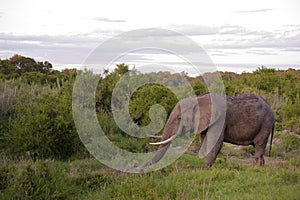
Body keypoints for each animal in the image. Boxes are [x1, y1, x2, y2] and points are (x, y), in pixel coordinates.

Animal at [142, 93, 276, 170]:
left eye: (179, 118)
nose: (140, 170)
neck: (199, 99)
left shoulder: (220, 119)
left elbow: (215, 142)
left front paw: (205, 169)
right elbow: (204, 142)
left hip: (266, 123)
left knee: (259, 145)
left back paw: (255, 169)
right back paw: (262, 168)